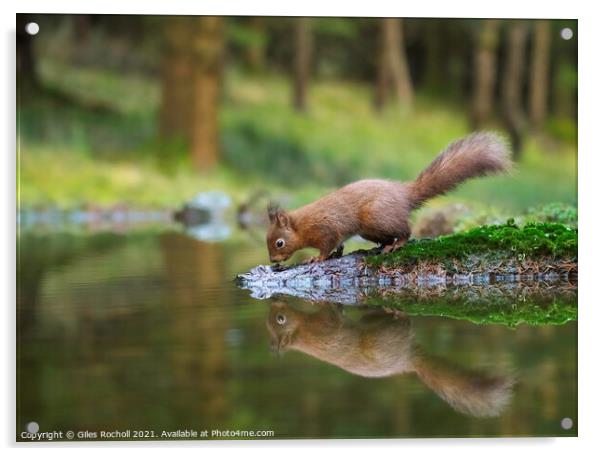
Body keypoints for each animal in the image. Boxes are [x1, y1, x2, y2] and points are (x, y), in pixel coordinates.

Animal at [264, 130, 508, 262]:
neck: (302, 225)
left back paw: (396, 244)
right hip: (370, 229)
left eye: (279, 243)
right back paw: (381, 246)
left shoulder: (326, 229)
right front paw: (335, 255)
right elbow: (339, 246)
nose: (274, 262)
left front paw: (317, 258)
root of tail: (404, 195)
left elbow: (327, 245)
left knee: (406, 231)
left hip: (376, 217)